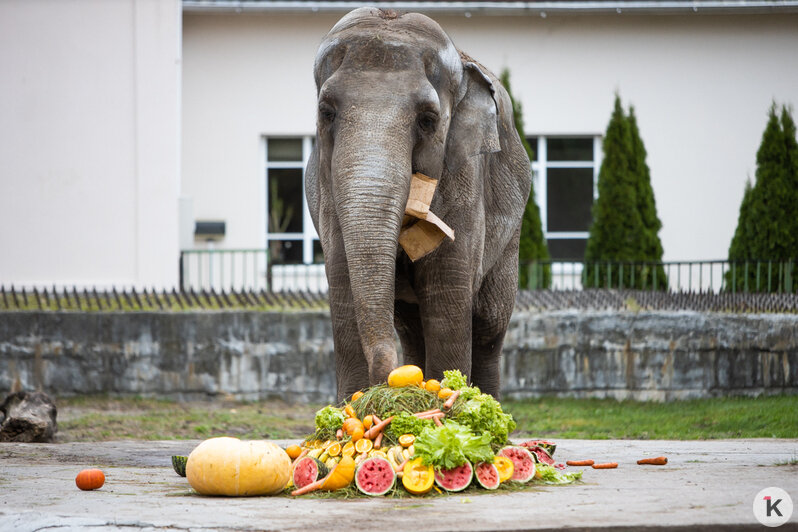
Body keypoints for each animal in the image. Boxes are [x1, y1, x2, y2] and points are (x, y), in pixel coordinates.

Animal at [306, 7, 532, 400]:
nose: (385, 379)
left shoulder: (465, 180)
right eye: (327, 113)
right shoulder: (327, 193)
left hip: (512, 231)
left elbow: (446, 301)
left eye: (428, 120)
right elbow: (344, 291)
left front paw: (449, 398)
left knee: (488, 328)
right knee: (412, 328)